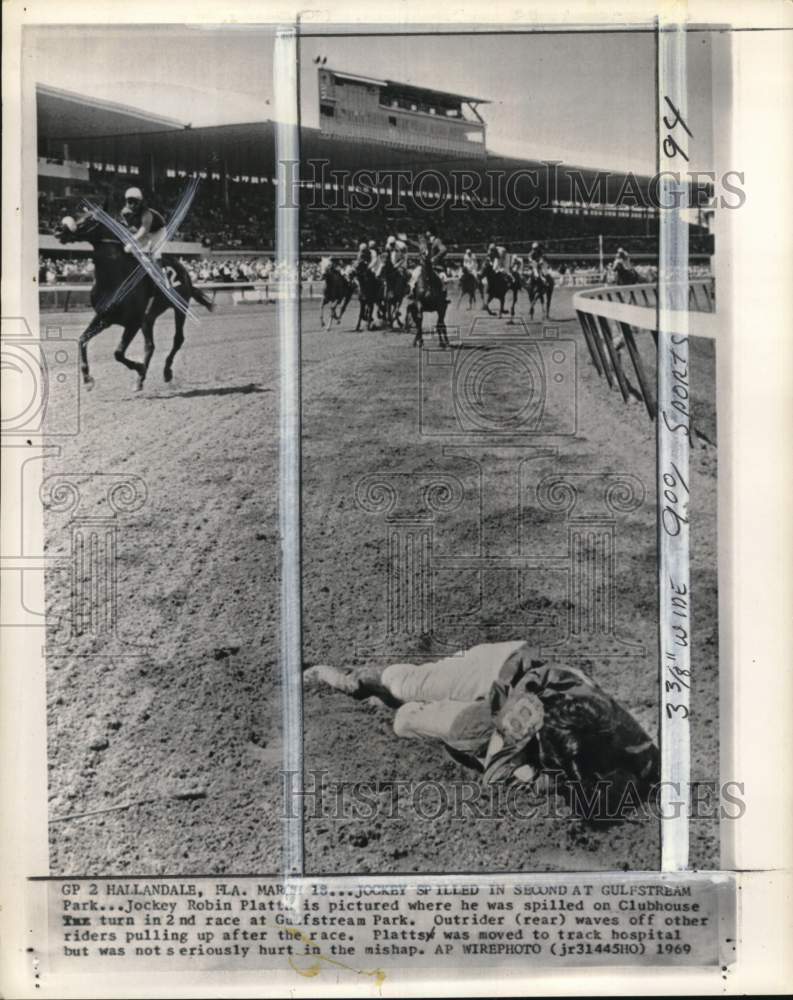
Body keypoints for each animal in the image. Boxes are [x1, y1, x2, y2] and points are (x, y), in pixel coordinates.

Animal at [55, 210, 213, 390]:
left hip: (180, 307)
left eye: (89, 219)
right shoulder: (104, 318)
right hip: (149, 317)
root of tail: (185, 271)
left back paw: (166, 371)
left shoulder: (133, 322)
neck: (114, 278)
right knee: (150, 345)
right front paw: (87, 379)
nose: (59, 229)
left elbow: (118, 353)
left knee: (178, 339)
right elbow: (82, 340)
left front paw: (139, 367)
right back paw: (140, 380)